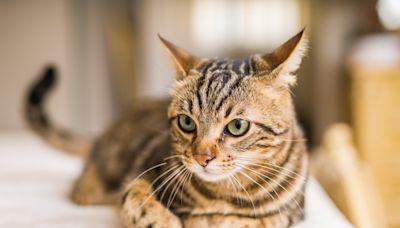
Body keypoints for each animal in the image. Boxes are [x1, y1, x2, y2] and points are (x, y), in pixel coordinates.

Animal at [25, 29, 310, 227]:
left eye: (237, 126)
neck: (224, 193)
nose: (202, 158)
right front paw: (165, 219)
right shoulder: (140, 172)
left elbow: (251, 220)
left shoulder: (291, 212)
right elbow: (137, 199)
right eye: (187, 122)